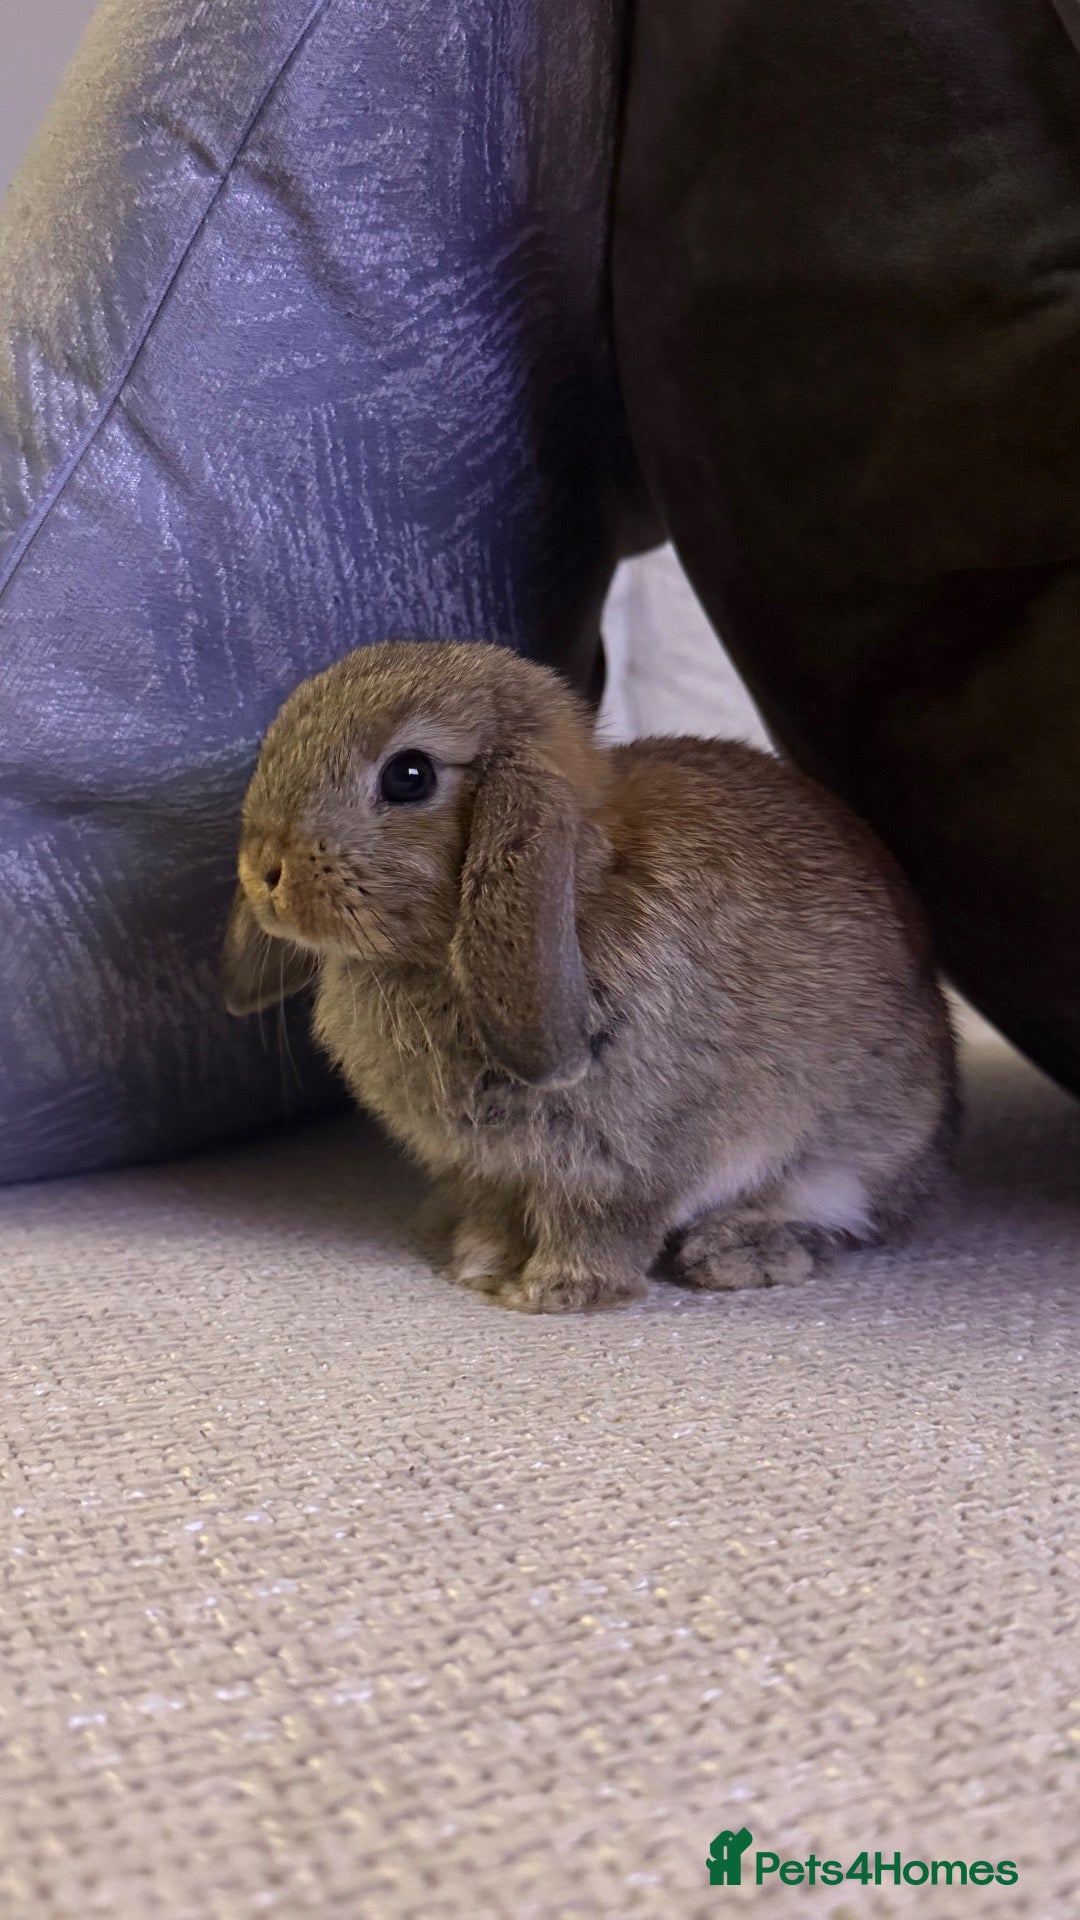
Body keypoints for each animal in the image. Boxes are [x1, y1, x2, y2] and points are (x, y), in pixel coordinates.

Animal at [221, 640, 958, 1313]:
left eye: (409, 775)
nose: (263, 870)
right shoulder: (486, 1168)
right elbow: (497, 1212)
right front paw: (481, 1267)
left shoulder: (630, 1156)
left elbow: (601, 1221)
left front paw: (562, 1291)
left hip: (845, 1149)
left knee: (837, 1212)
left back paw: (735, 1253)